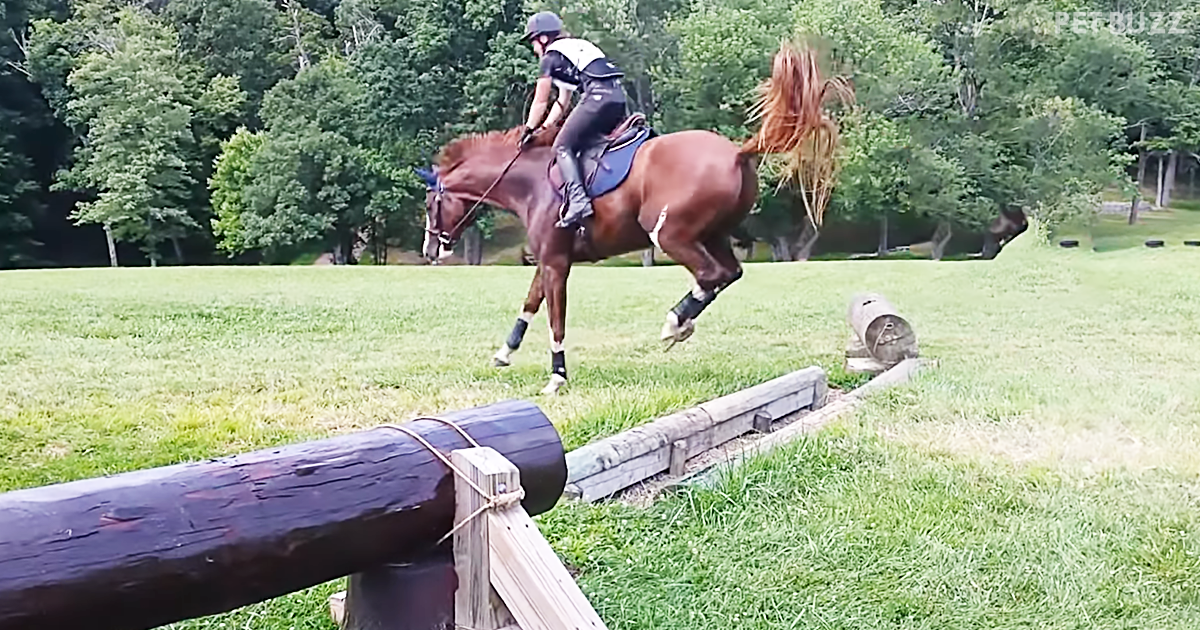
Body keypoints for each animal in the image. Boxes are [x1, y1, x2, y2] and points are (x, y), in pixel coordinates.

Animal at [416, 42, 853, 395]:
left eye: (430, 203)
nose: (430, 249)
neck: (530, 180)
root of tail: (736, 151)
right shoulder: (548, 260)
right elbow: (529, 305)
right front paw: (504, 352)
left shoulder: (556, 263)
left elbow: (555, 319)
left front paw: (556, 376)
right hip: (712, 235)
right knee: (728, 273)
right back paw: (681, 322)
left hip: (670, 234)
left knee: (710, 275)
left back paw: (675, 322)